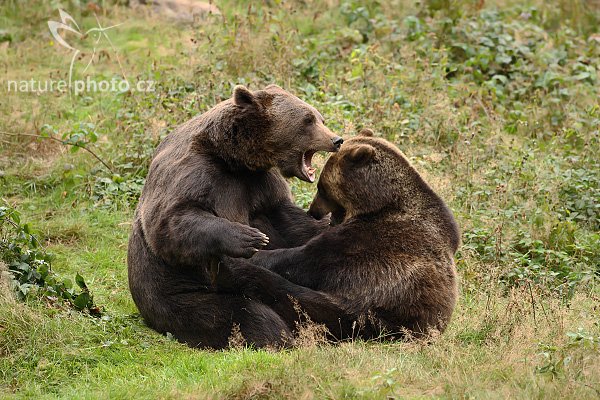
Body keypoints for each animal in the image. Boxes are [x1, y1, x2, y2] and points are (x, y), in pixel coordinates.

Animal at [127, 85, 344, 350]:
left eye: (320, 118)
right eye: (308, 120)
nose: (337, 140)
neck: (233, 160)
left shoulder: (259, 185)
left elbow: (288, 220)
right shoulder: (193, 171)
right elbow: (170, 221)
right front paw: (249, 238)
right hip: (176, 294)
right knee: (242, 315)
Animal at [216, 130, 460, 340]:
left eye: (321, 187)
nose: (312, 211)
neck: (380, 204)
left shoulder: (373, 240)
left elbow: (308, 258)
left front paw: (255, 255)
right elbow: (301, 232)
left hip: (373, 309)